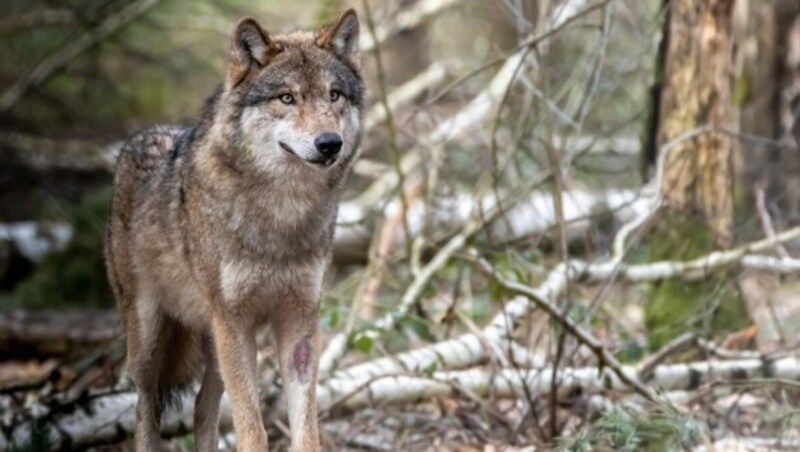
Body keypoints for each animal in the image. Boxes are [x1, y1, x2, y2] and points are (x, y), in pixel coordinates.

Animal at [103, 10, 362, 452]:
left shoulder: (300, 321)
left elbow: (305, 429)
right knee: (144, 409)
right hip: (151, 342)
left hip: (212, 344)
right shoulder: (234, 322)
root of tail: (136, 140)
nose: (330, 143)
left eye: (334, 96)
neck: (283, 214)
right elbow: (252, 428)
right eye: (287, 98)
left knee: (201, 409)